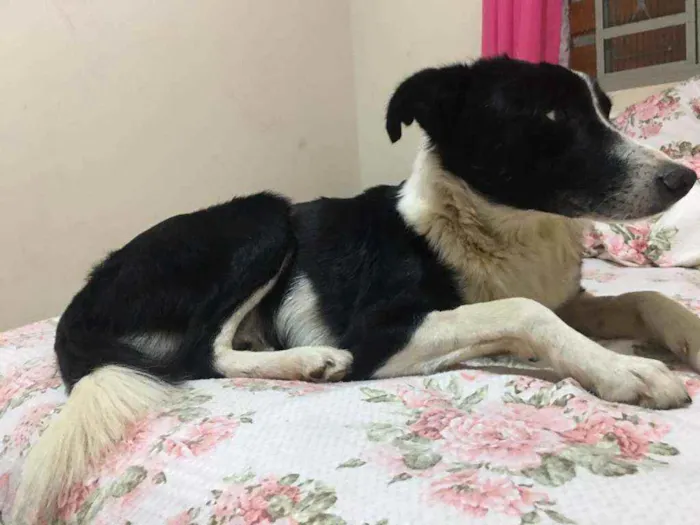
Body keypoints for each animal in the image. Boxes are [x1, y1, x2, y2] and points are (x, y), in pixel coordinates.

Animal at [13, 56, 700, 522]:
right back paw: (310, 360)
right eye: (552, 117)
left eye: (606, 110)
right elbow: (523, 311)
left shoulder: (569, 298)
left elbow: (643, 298)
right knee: (201, 354)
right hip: (261, 217)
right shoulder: (382, 332)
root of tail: (78, 304)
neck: (497, 225)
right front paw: (626, 370)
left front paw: (684, 336)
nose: (683, 178)